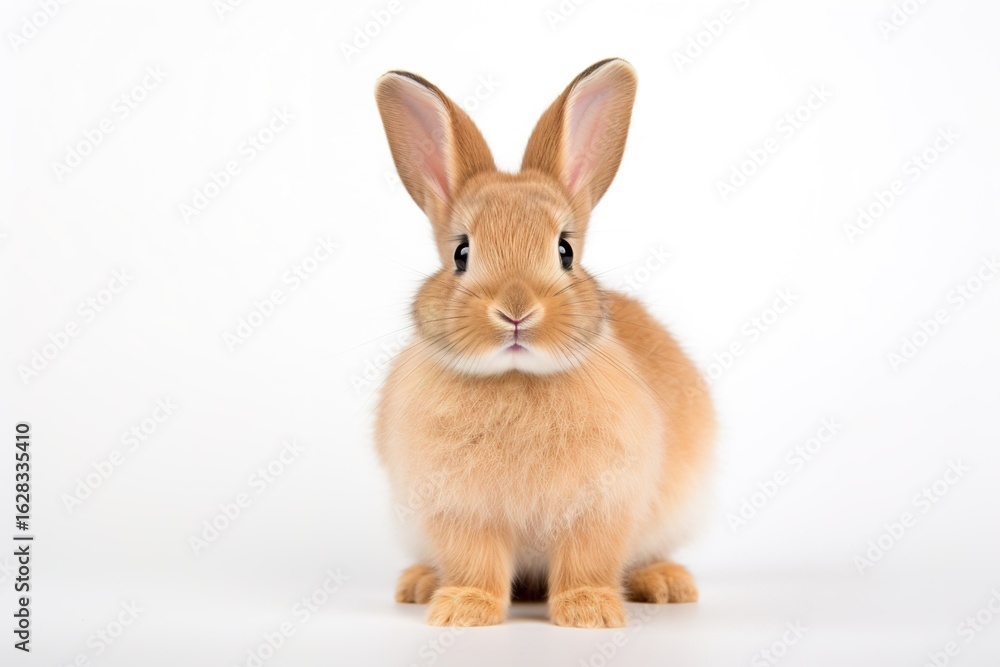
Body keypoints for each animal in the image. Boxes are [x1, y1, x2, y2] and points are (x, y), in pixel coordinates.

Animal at [373, 58, 715, 628]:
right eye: (462, 253)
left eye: (565, 250)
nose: (516, 311)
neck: (517, 377)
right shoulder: (458, 511)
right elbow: (475, 562)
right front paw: (464, 610)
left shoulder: (602, 506)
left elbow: (586, 561)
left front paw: (589, 612)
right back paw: (418, 584)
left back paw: (666, 583)